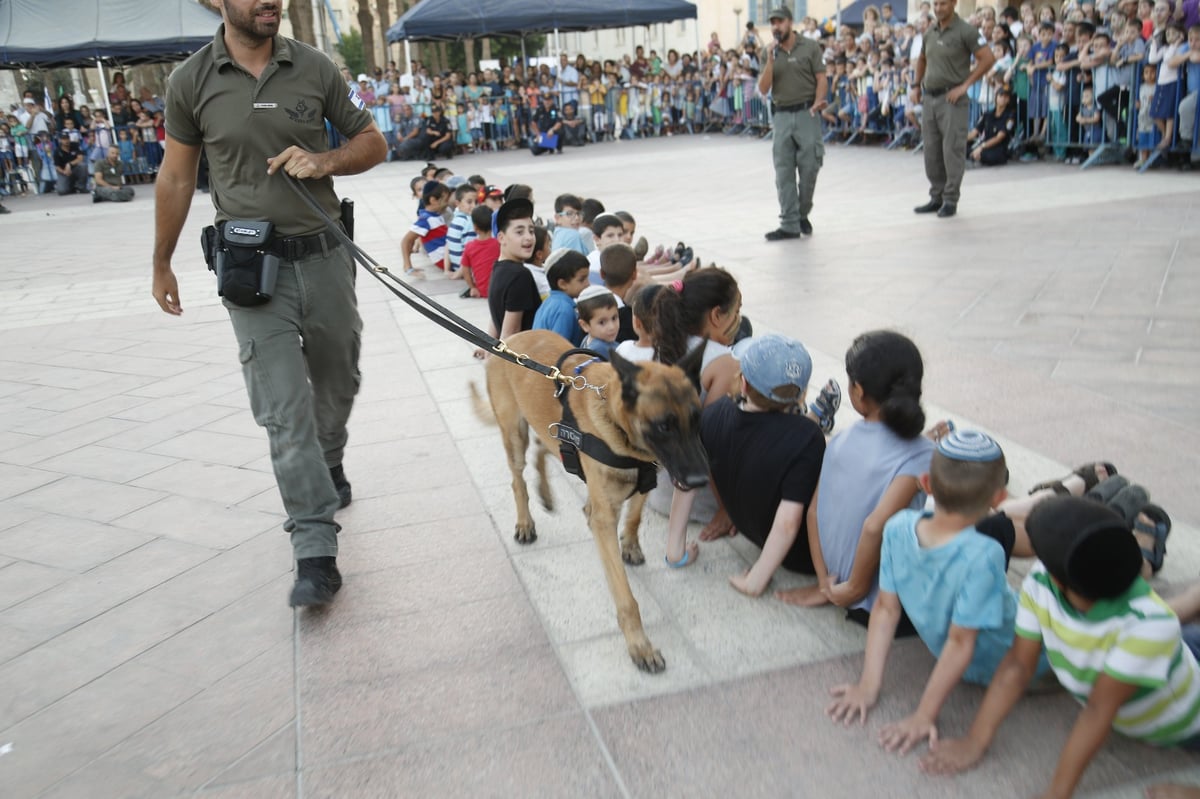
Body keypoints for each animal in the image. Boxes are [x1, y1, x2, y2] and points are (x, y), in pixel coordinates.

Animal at [472, 326, 705, 667]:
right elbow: (626, 597)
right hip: (514, 435)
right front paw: (640, 645)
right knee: (518, 480)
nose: (701, 480)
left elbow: (635, 517)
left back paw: (547, 493)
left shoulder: (646, 477)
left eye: (696, 419)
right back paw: (526, 522)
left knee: (545, 449)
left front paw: (630, 544)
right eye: (664, 426)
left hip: (552, 433)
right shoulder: (604, 519)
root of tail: (510, 340)